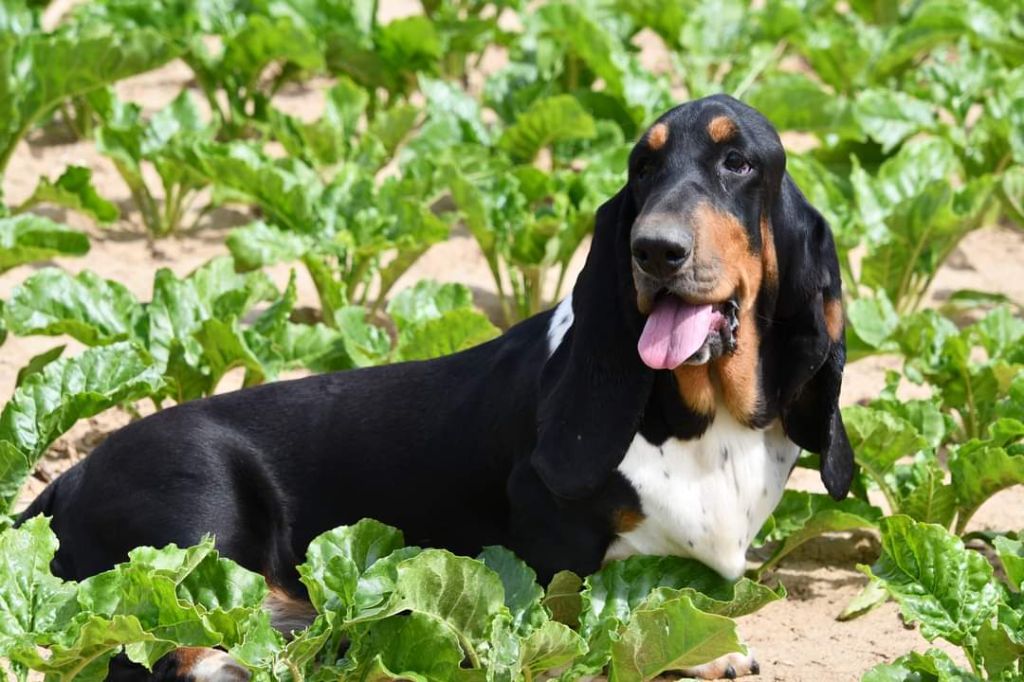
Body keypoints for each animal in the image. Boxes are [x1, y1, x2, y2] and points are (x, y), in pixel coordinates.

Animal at [19, 94, 851, 675]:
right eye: (642, 169)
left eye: (737, 163)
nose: (654, 250)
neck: (698, 418)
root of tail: (66, 480)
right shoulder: (548, 552)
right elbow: (578, 619)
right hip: (197, 530)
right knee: (152, 634)